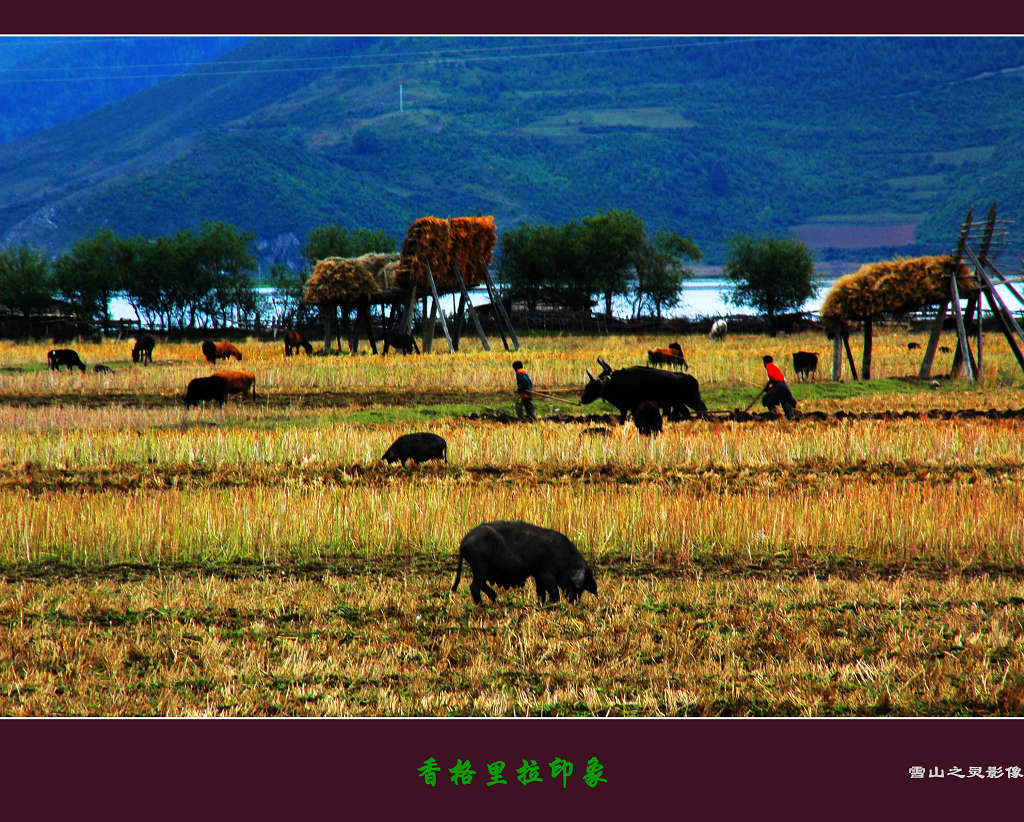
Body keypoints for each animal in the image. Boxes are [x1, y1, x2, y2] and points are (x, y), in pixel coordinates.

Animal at [450, 520, 598, 606]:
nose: (575, 602)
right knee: (474, 586)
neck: (566, 560)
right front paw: (553, 603)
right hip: (480, 565)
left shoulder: (538, 574)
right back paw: (482, 604)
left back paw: (494, 599)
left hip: (481, 568)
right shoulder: (546, 571)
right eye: (577, 585)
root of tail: (464, 542)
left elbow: (540, 591)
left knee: (480, 585)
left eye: (584, 587)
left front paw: (541, 604)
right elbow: (553, 590)